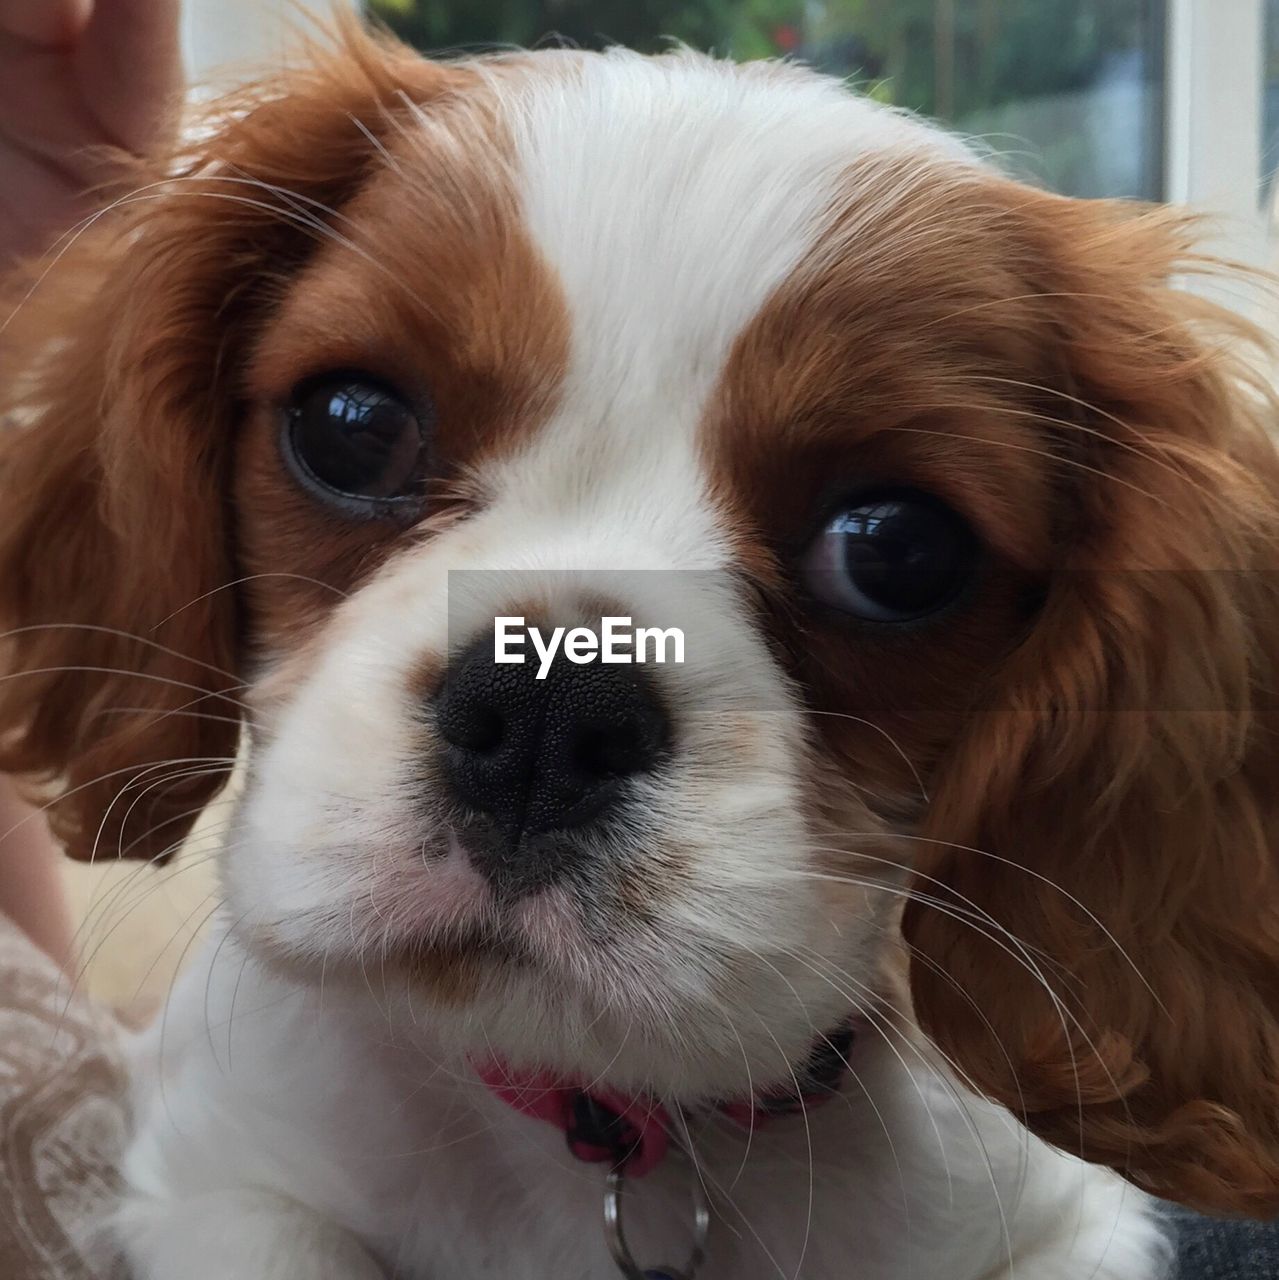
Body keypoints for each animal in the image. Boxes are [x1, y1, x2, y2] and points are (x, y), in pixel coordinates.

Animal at [2, 20, 1279, 1280]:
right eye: (350, 426)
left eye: (897, 549)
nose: (546, 714)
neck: (597, 1115)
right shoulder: (215, 1170)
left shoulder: (1065, 1227)